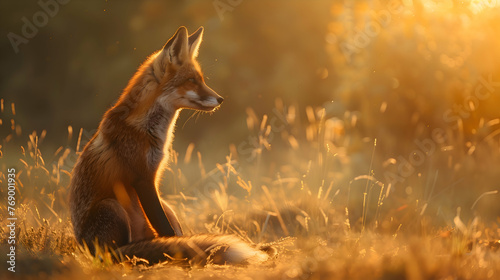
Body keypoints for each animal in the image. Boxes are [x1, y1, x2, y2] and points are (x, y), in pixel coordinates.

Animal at [69, 25, 272, 264]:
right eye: (192, 80)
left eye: (201, 79)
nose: (221, 99)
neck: (148, 129)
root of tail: (84, 248)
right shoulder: (143, 179)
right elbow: (166, 229)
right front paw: (179, 248)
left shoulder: (154, 179)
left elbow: (170, 230)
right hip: (112, 206)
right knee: (120, 251)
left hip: (167, 206)